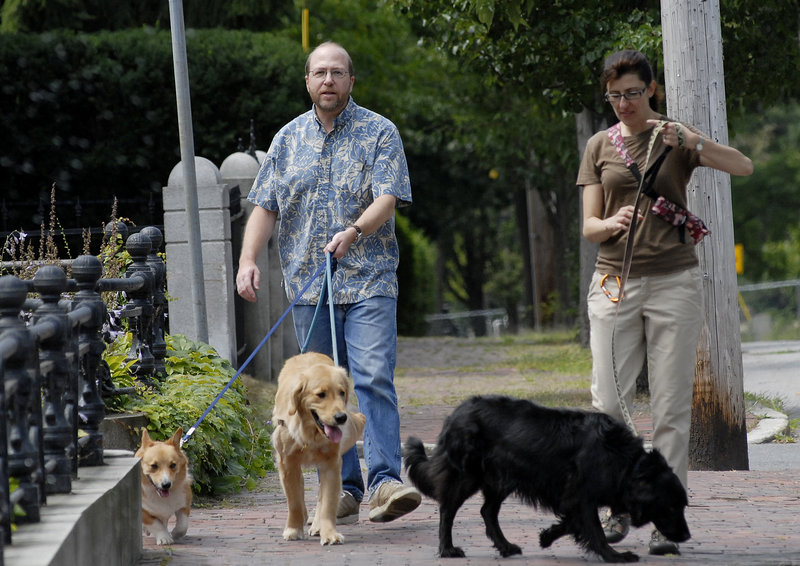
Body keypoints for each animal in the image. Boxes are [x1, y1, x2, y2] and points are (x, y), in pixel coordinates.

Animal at [404, 398, 692, 560]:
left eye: (683, 506)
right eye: (670, 507)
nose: (687, 535)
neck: (624, 460)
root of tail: (456, 413)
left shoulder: (572, 496)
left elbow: (572, 522)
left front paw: (547, 536)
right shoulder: (581, 494)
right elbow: (594, 530)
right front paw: (615, 556)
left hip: (501, 479)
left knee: (487, 511)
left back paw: (505, 546)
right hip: (467, 475)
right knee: (447, 509)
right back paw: (448, 550)